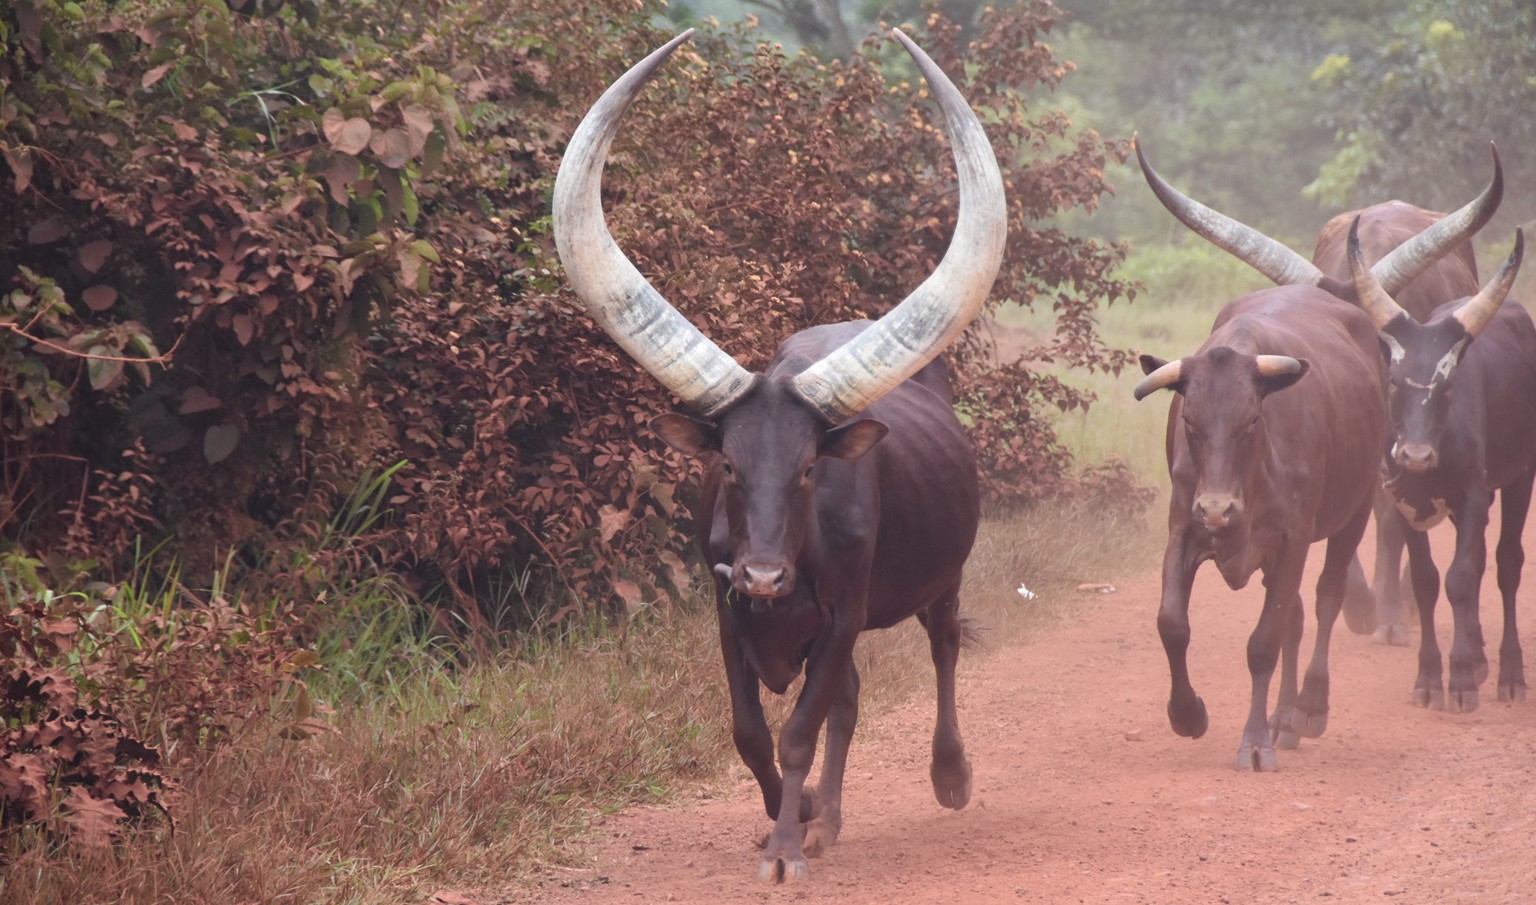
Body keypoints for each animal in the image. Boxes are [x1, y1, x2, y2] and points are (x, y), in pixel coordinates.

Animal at [552, 29, 1007, 885]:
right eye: (728, 466)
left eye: (807, 469)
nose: (766, 575)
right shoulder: (726, 608)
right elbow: (753, 732)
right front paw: (789, 817)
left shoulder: (841, 613)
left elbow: (798, 731)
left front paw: (787, 849)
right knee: (851, 701)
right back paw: (826, 814)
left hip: (943, 578)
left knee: (944, 650)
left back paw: (950, 773)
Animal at [1130, 284, 1394, 768]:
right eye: (1189, 420)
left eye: (1252, 418)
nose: (1218, 510)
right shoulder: (1184, 531)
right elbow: (1172, 624)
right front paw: (1188, 713)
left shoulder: (1292, 541)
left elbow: (1263, 644)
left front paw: (1254, 742)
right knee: (1296, 615)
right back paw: (1284, 718)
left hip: (1357, 508)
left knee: (1327, 599)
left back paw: (1309, 706)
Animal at [1345, 222, 1523, 709]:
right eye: (1393, 382)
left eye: (1446, 386)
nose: (1416, 456)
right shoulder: (1406, 500)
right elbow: (1426, 582)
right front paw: (1428, 679)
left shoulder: (1474, 495)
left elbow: (1460, 578)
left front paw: (1460, 679)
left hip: (1520, 478)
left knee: (1506, 563)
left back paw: (1510, 675)